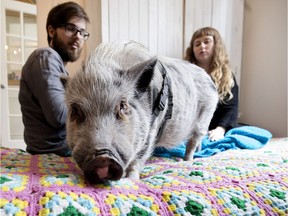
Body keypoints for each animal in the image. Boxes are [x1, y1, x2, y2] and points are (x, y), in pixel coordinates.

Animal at [62, 41, 217, 184]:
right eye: (75, 110)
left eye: (123, 105)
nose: (102, 158)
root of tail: (209, 79)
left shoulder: (151, 128)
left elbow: (139, 157)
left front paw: (131, 179)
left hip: (206, 116)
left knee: (193, 141)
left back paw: (184, 160)